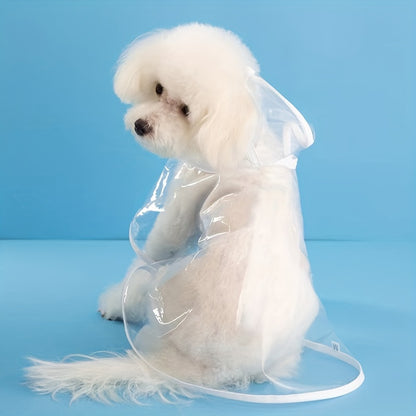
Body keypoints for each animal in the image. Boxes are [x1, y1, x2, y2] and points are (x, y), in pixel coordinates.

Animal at [25, 22, 318, 404]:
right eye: (159, 88)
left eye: (186, 110)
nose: (141, 125)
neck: (237, 138)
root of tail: (212, 371)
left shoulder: (183, 199)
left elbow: (148, 255)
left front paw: (114, 303)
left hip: (163, 284)